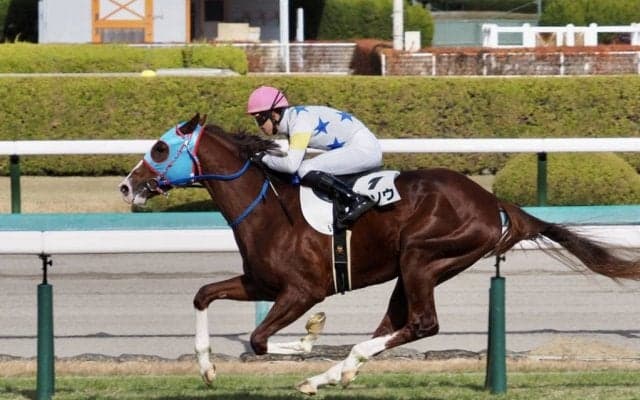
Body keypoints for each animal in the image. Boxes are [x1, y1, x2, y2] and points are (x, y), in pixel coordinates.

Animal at [119, 113, 640, 395]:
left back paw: (337, 367)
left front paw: (310, 336)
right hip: (414, 271)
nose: (127, 186)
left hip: (422, 256)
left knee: (423, 324)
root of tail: (494, 203)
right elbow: (203, 295)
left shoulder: (303, 290)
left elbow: (261, 340)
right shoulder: (260, 282)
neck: (265, 206)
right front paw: (206, 368)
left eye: (160, 148)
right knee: (394, 324)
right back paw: (332, 375)